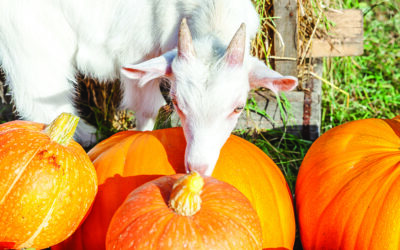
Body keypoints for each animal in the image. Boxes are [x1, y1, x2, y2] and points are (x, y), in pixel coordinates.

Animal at [0, 0, 296, 176]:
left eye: (238, 108)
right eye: (177, 104)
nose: (197, 168)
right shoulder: (137, 54)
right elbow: (146, 109)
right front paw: (140, 137)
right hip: (28, 39)